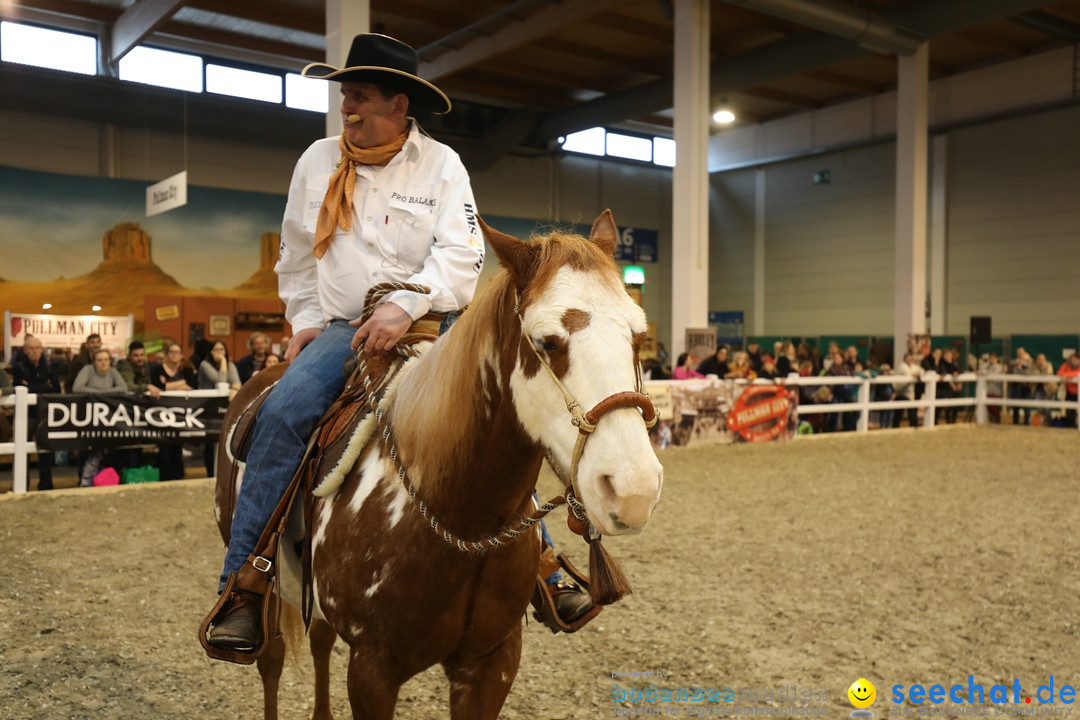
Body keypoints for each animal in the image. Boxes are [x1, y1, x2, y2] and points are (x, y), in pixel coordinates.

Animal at [214, 209, 660, 720]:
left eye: (638, 336)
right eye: (547, 341)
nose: (633, 489)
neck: (460, 517)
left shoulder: (493, 660)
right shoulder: (372, 669)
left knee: (321, 638)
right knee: (271, 657)